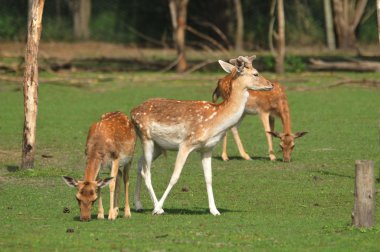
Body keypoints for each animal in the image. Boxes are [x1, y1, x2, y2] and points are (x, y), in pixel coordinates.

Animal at [131, 56, 274, 216]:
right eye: (256, 73)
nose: (271, 84)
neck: (215, 121)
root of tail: (132, 112)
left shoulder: (207, 149)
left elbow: (209, 178)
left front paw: (214, 210)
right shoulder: (186, 143)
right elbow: (175, 176)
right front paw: (158, 208)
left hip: (158, 146)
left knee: (139, 164)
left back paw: (139, 205)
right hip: (146, 138)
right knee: (146, 172)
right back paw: (158, 208)